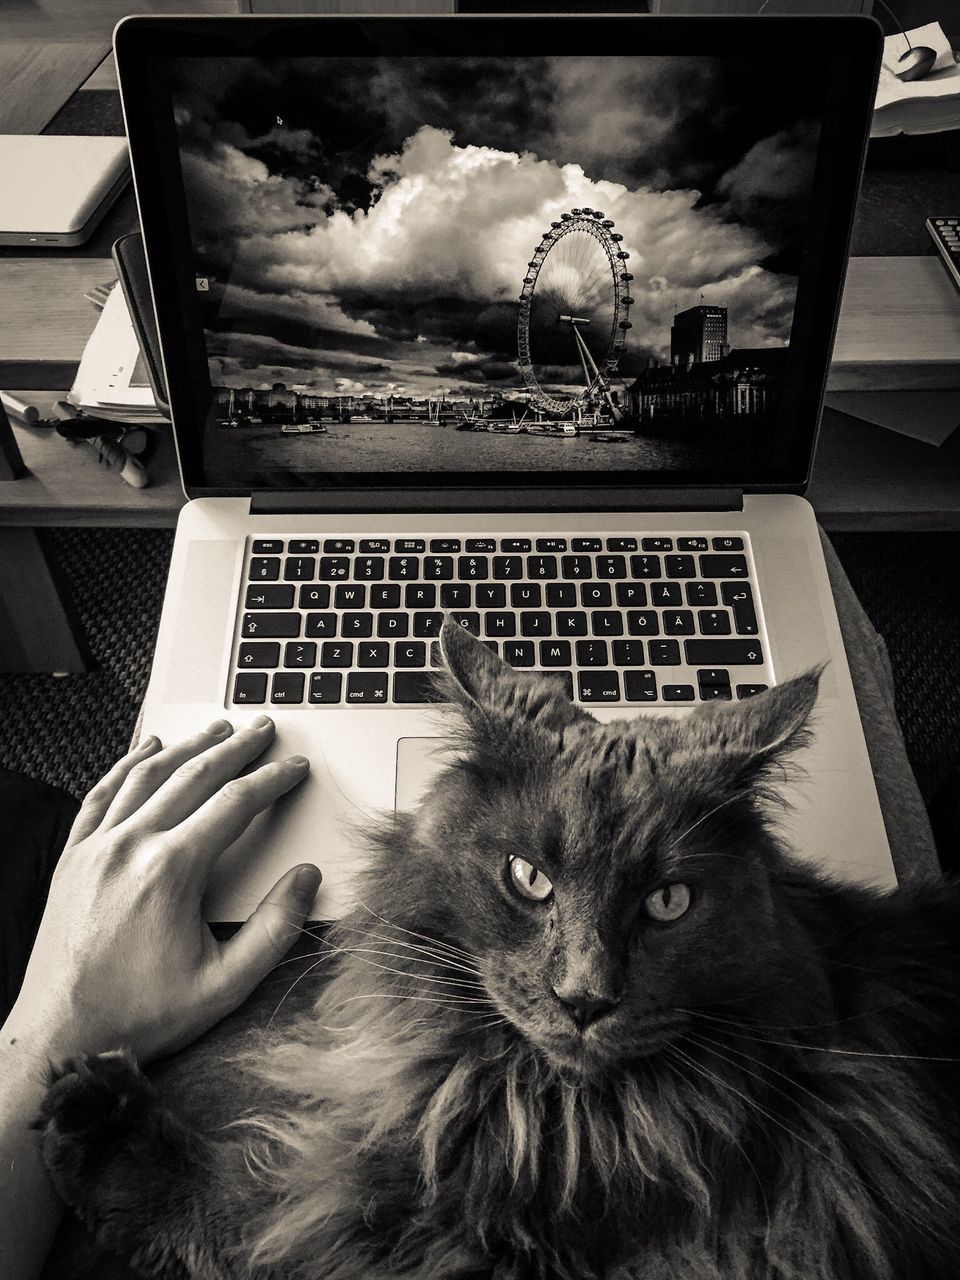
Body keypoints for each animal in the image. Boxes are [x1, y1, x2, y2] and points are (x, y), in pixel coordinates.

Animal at [33, 619, 960, 1280]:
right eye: (529, 877)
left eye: (668, 902)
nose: (584, 998)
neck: (535, 1115)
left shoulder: (402, 1235)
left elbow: (244, 1214)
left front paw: (93, 1118)